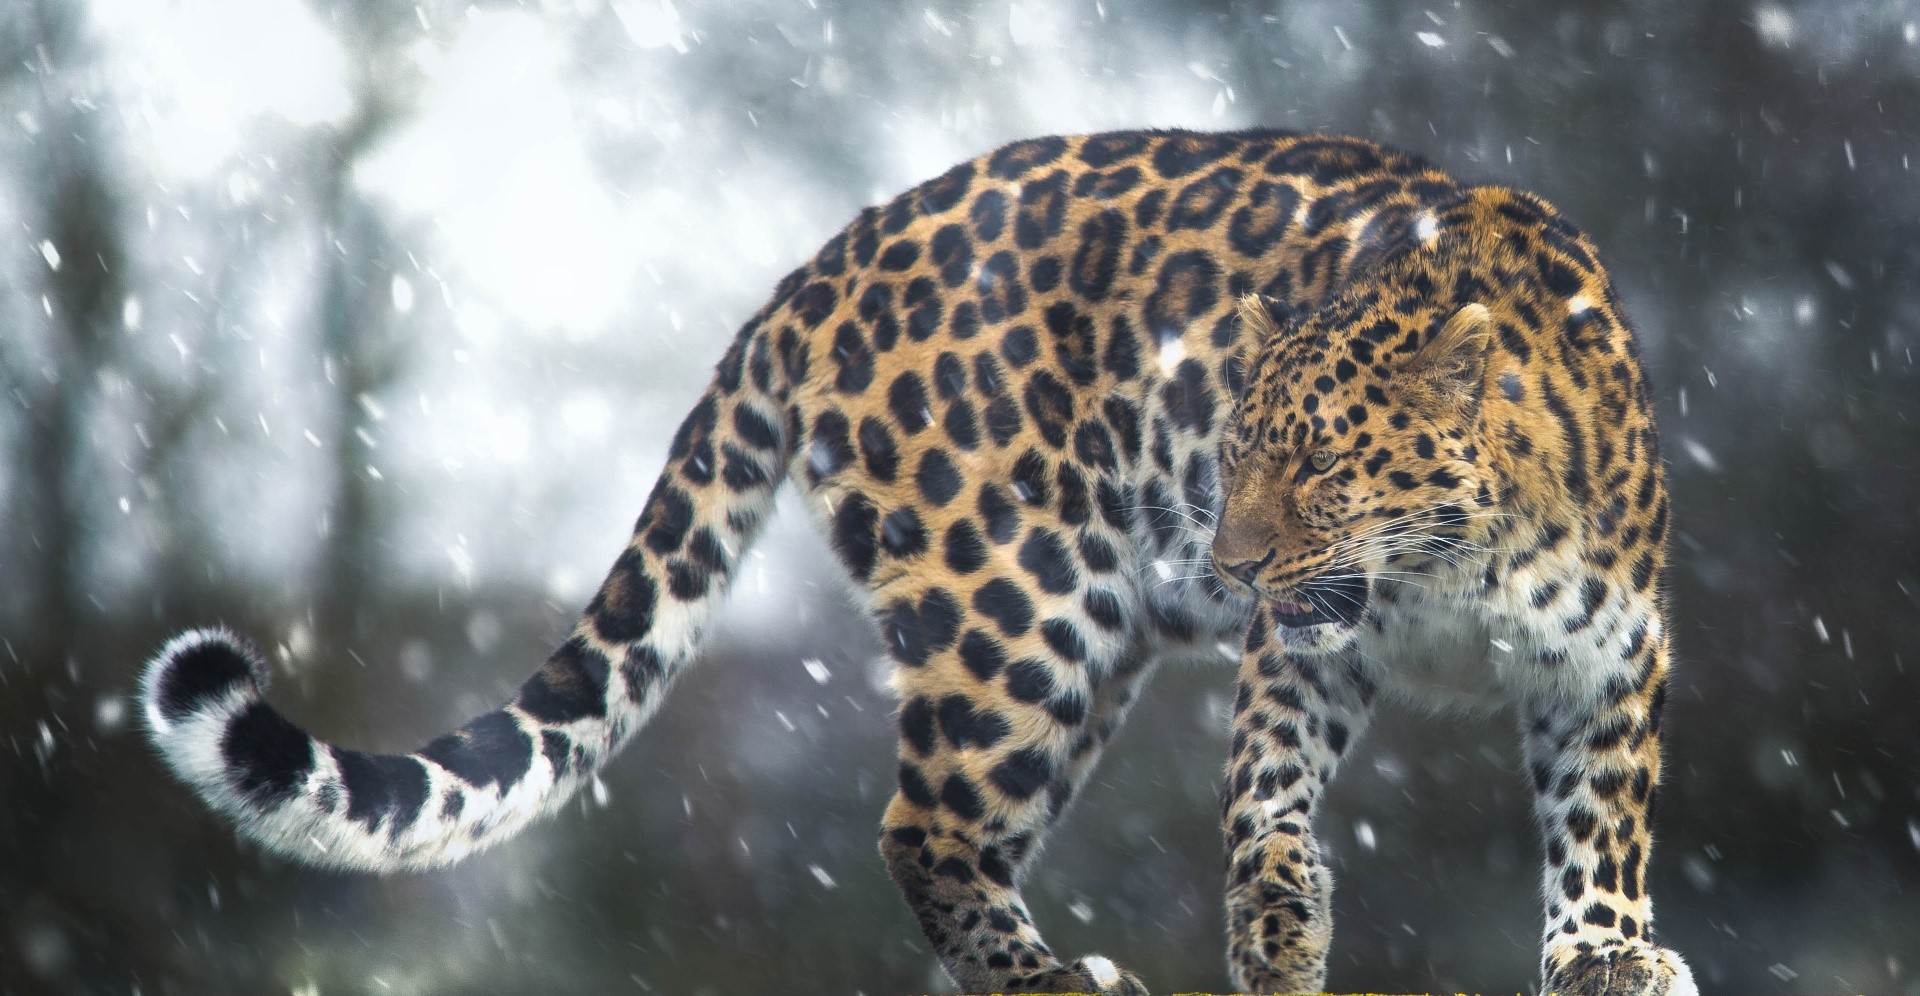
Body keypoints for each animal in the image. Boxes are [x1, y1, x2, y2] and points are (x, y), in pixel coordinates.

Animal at [142, 128, 1696, 995]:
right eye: (1233, 448)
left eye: (1316, 464)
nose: (1236, 560)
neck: (1452, 577)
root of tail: (822, 263)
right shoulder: (1304, 654)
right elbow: (1266, 804)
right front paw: (1276, 937)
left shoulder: (1612, 652)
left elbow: (1602, 819)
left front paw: (1605, 954)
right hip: (1020, 607)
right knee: (921, 830)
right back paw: (1053, 983)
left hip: (1077, 646)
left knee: (959, 833)